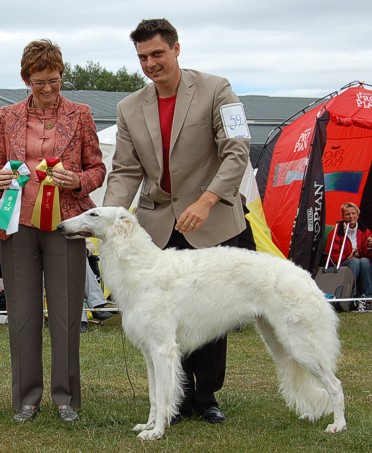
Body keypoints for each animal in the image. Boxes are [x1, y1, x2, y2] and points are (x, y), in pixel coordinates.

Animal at [57, 207, 346, 438]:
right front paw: (148, 425)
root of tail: (306, 277)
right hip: (276, 339)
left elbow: (163, 396)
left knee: (335, 385)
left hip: (300, 344)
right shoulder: (149, 352)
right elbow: (153, 396)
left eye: (93, 213)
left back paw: (338, 425)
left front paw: (157, 432)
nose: (60, 226)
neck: (143, 267)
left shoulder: (164, 348)